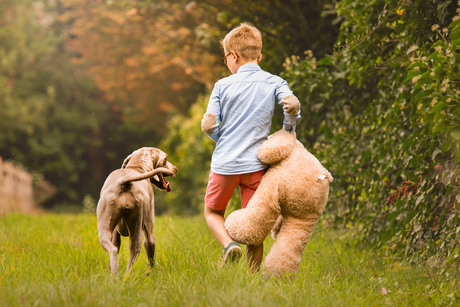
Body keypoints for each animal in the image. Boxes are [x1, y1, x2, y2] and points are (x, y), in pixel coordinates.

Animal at [96, 147, 177, 276]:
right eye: (165, 158)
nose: (175, 168)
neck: (136, 167)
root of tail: (124, 182)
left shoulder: (115, 234)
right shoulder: (149, 229)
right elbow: (150, 250)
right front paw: (151, 272)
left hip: (105, 228)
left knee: (113, 250)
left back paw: (115, 276)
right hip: (138, 222)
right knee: (135, 250)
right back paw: (126, 277)